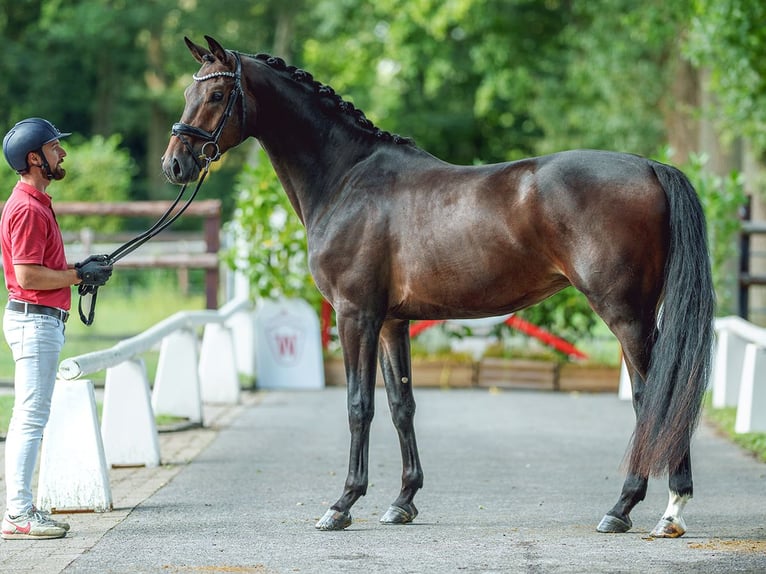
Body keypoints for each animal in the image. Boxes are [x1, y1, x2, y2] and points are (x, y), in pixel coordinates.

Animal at [162, 36, 720, 540]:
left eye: (217, 94)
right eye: (189, 92)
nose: (175, 165)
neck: (347, 179)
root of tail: (651, 166)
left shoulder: (354, 315)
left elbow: (358, 406)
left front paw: (342, 505)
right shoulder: (391, 321)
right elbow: (400, 405)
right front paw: (402, 501)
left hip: (624, 312)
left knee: (654, 399)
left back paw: (646, 509)